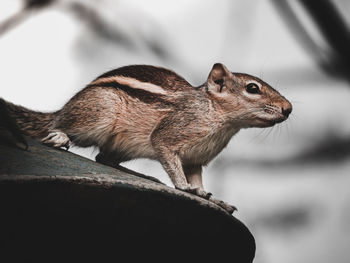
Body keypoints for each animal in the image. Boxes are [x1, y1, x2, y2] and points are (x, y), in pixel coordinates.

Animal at [1, 64, 292, 214]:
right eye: (252, 88)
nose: (288, 108)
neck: (219, 117)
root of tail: (64, 108)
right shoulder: (168, 137)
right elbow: (173, 163)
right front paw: (184, 187)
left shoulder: (196, 159)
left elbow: (197, 178)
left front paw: (211, 197)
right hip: (99, 113)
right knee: (62, 127)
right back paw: (60, 133)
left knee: (104, 158)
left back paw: (144, 175)